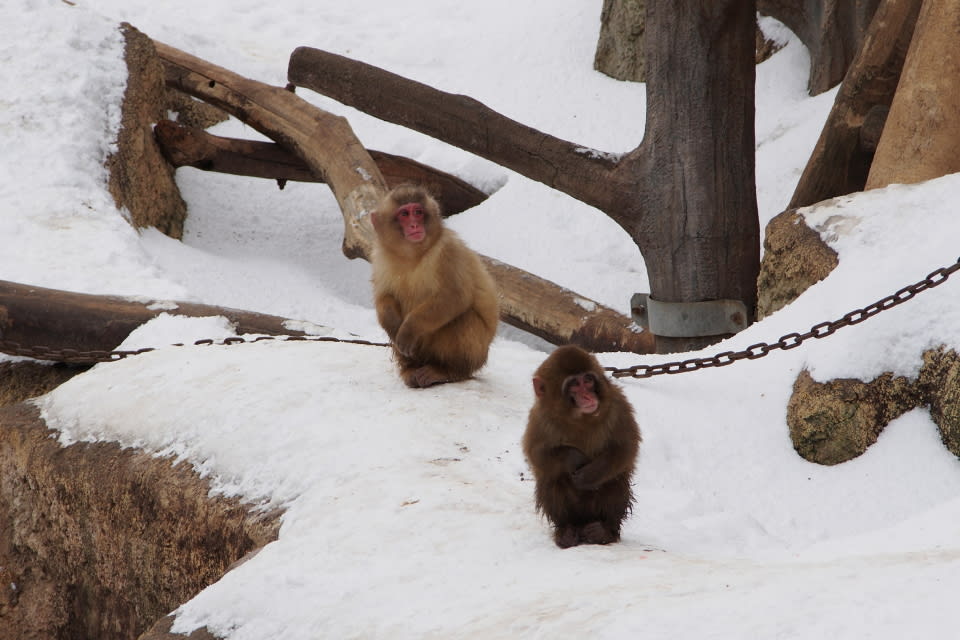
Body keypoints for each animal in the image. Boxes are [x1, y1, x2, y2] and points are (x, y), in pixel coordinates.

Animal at [370, 182, 498, 388]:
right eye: (404, 214)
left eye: (418, 212)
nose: (414, 225)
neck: (412, 256)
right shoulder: (379, 257)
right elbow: (384, 297)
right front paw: (392, 322)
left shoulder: (448, 251)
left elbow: (454, 296)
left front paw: (408, 329)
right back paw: (410, 369)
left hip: (478, 354)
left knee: (462, 319)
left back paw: (449, 371)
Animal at [520, 348, 640, 548]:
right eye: (574, 384)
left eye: (588, 380)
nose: (588, 396)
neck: (580, 417)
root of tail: (584, 521)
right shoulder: (539, 417)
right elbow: (537, 454)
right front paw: (574, 458)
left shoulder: (618, 405)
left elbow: (626, 448)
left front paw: (589, 474)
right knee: (552, 478)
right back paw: (566, 530)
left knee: (615, 480)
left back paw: (604, 530)